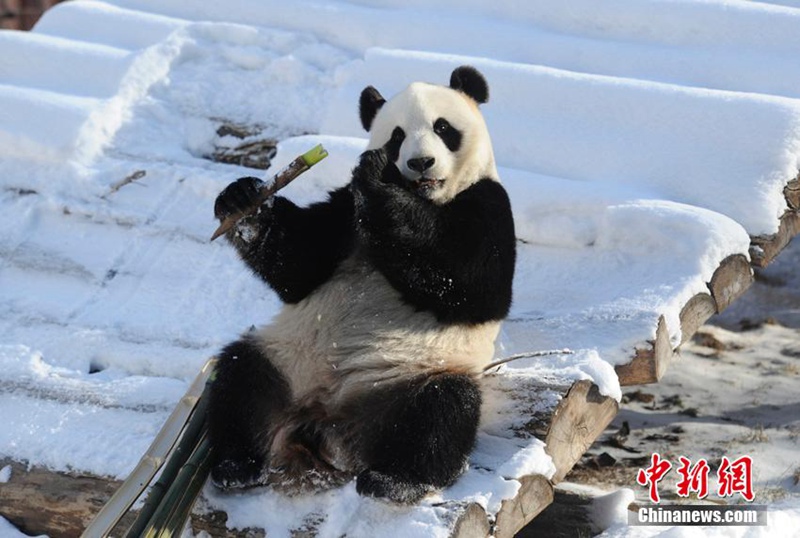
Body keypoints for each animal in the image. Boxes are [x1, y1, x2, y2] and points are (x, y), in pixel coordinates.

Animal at [206, 63, 516, 502]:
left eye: (442, 127)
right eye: (397, 135)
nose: (421, 162)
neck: (426, 199)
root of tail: (327, 422)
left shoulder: (488, 205)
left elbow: (471, 287)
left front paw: (380, 183)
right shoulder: (343, 210)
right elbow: (299, 265)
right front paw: (243, 201)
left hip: (408, 377)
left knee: (442, 411)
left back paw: (396, 481)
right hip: (289, 361)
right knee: (241, 378)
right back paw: (236, 465)